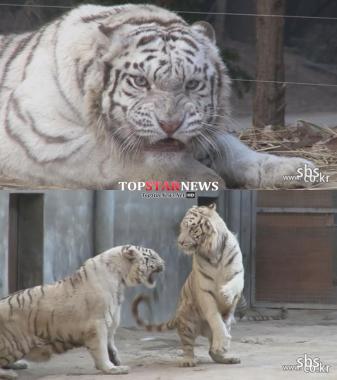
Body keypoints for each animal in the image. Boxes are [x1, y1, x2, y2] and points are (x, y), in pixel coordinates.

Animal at [0, 4, 312, 189]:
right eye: (140, 81)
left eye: (192, 84)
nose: (170, 125)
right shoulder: (42, 137)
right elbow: (119, 158)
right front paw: (205, 178)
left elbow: (235, 150)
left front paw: (295, 169)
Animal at [0, 245, 164, 378]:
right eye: (153, 256)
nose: (164, 262)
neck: (120, 280)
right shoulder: (98, 323)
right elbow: (101, 348)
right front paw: (111, 368)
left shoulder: (110, 322)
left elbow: (111, 344)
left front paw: (116, 361)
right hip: (14, 343)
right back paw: (10, 373)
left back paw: (18, 364)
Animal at [132, 203, 244, 366]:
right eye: (182, 228)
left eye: (192, 228)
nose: (180, 242)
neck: (214, 253)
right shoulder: (204, 290)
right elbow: (215, 318)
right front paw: (220, 342)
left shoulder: (239, 274)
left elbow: (235, 284)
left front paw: (226, 294)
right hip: (188, 319)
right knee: (187, 345)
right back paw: (189, 360)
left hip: (225, 324)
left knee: (212, 351)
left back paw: (226, 357)